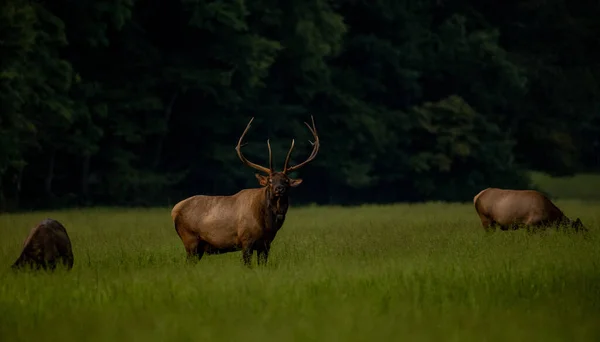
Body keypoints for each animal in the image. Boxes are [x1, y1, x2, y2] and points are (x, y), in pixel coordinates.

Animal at [171, 116, 322, 266]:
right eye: (270, 181)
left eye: (286, 181)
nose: (279, 188)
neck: (268, 224)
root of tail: (174, 210)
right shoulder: (246, 240)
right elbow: (247, 265)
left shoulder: (266, 244)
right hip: (190, 239)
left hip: (198, 247)